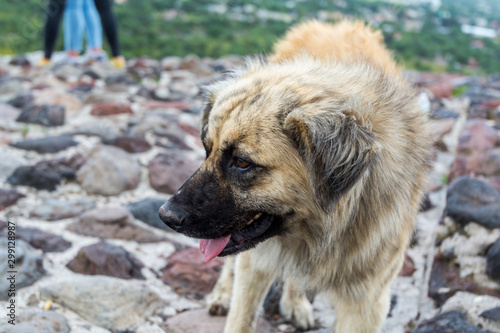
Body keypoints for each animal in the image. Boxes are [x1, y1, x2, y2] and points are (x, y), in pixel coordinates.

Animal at [160, 21, 430, 332]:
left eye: (241, 162)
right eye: (207, 149)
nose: (165, 215)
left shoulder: (367, 302)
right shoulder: (256, 261)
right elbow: (241, 316)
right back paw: (223, 293)